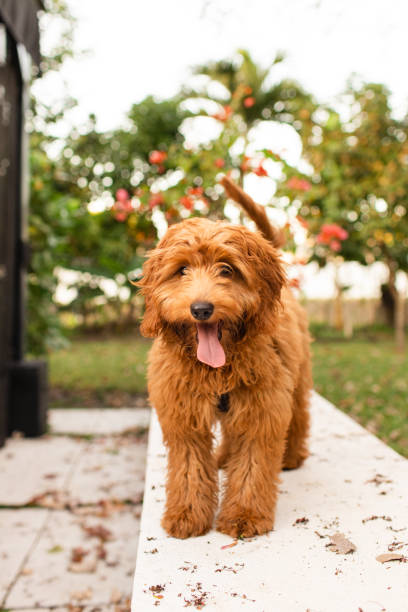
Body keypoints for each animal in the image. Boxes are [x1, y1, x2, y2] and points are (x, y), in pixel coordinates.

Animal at [138, 177, 312, 540]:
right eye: (182, 270)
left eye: (227, 270)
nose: (202, 309)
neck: (216, 369)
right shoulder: (182, 414)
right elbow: (189, 467)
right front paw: (187, 514)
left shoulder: (262, 407)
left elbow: (252, 466)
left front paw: (244, 515)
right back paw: (223, 457)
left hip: (297, 376)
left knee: (299, 414)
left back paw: (291, 456)